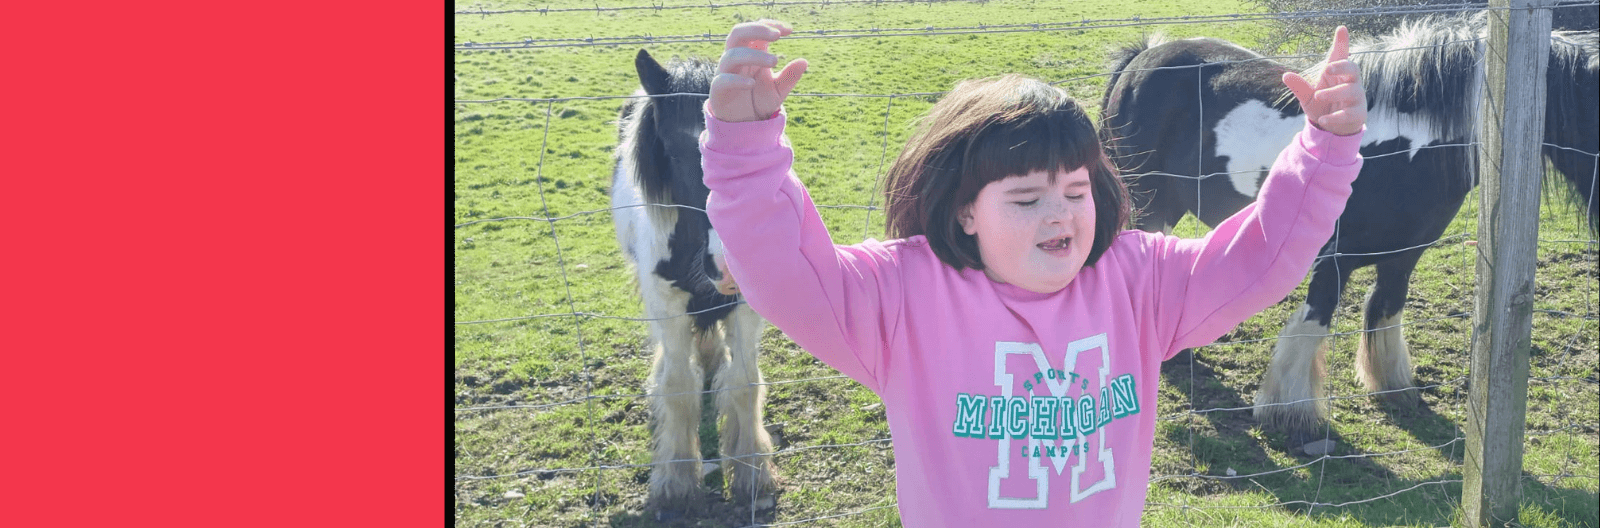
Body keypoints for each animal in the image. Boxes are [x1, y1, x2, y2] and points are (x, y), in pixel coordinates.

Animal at [611, 49, 774, 515]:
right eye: (674, 148)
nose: (729, 263)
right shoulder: (667, 306)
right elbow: (679, 389)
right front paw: (676, 480)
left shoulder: (744, 308)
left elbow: (745, 383)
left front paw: (752, 470)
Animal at [1100, 14, 1600, 448]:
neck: (1413, 142)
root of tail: (1142, 57)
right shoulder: (1333, 259)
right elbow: (1313, 321)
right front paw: (1289, 412)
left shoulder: (1403, 256)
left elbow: (1385, 308)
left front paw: (1393, 387)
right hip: (1152, 201)